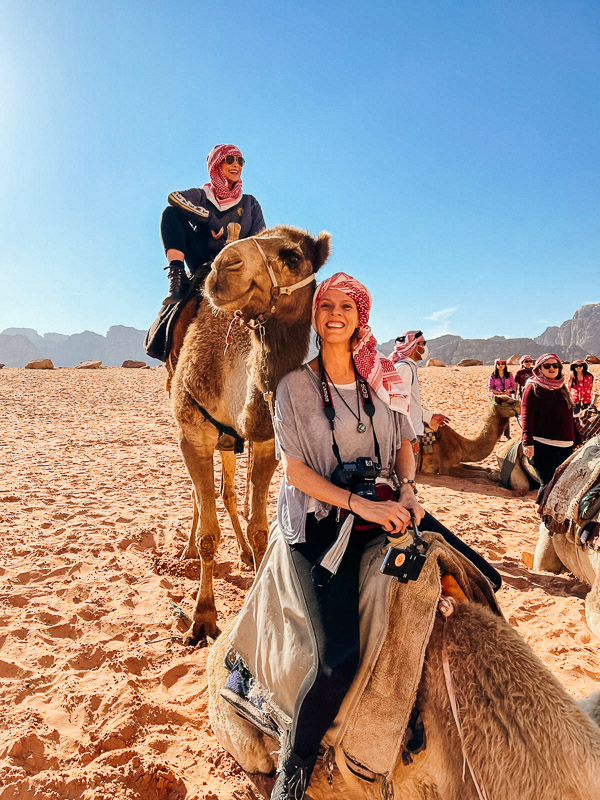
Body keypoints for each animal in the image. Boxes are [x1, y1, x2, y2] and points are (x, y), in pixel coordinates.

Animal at [169, 223, 330, 644]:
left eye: (292, 256)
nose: (224, 265)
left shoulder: (267, 441)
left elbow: (260, 529)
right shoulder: (192, 434)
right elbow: (209, 534)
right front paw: (202, 620)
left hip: (230, 444)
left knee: (226, 494)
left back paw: (242, 553)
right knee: (202, 499)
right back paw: (187, 551)